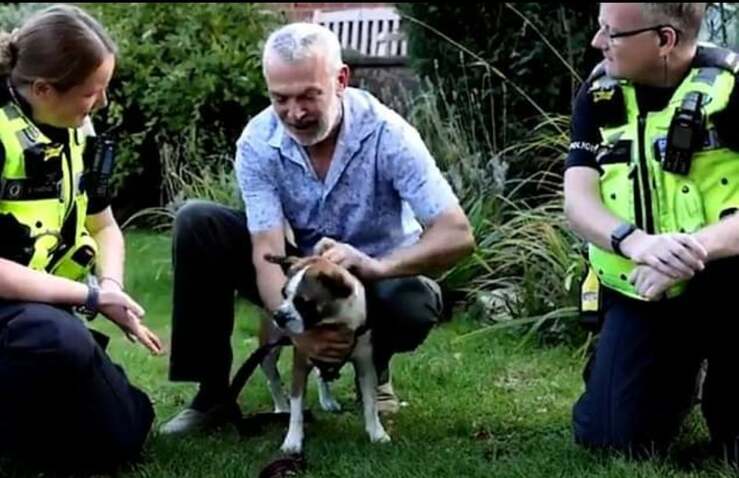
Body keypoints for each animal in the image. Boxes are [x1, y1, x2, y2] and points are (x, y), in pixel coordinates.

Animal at [259, 254, 390, 455]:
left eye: (304, 303)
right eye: (283, 294)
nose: (279, 315)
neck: (334, 321)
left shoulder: (366, 367)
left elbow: (370, 402)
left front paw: (377, 432)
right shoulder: (299, 367)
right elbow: (297, 408)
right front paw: (293, 440)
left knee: (322, 374)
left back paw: (327, 400)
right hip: (269, 352)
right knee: (272, 379)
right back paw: (281, 407)